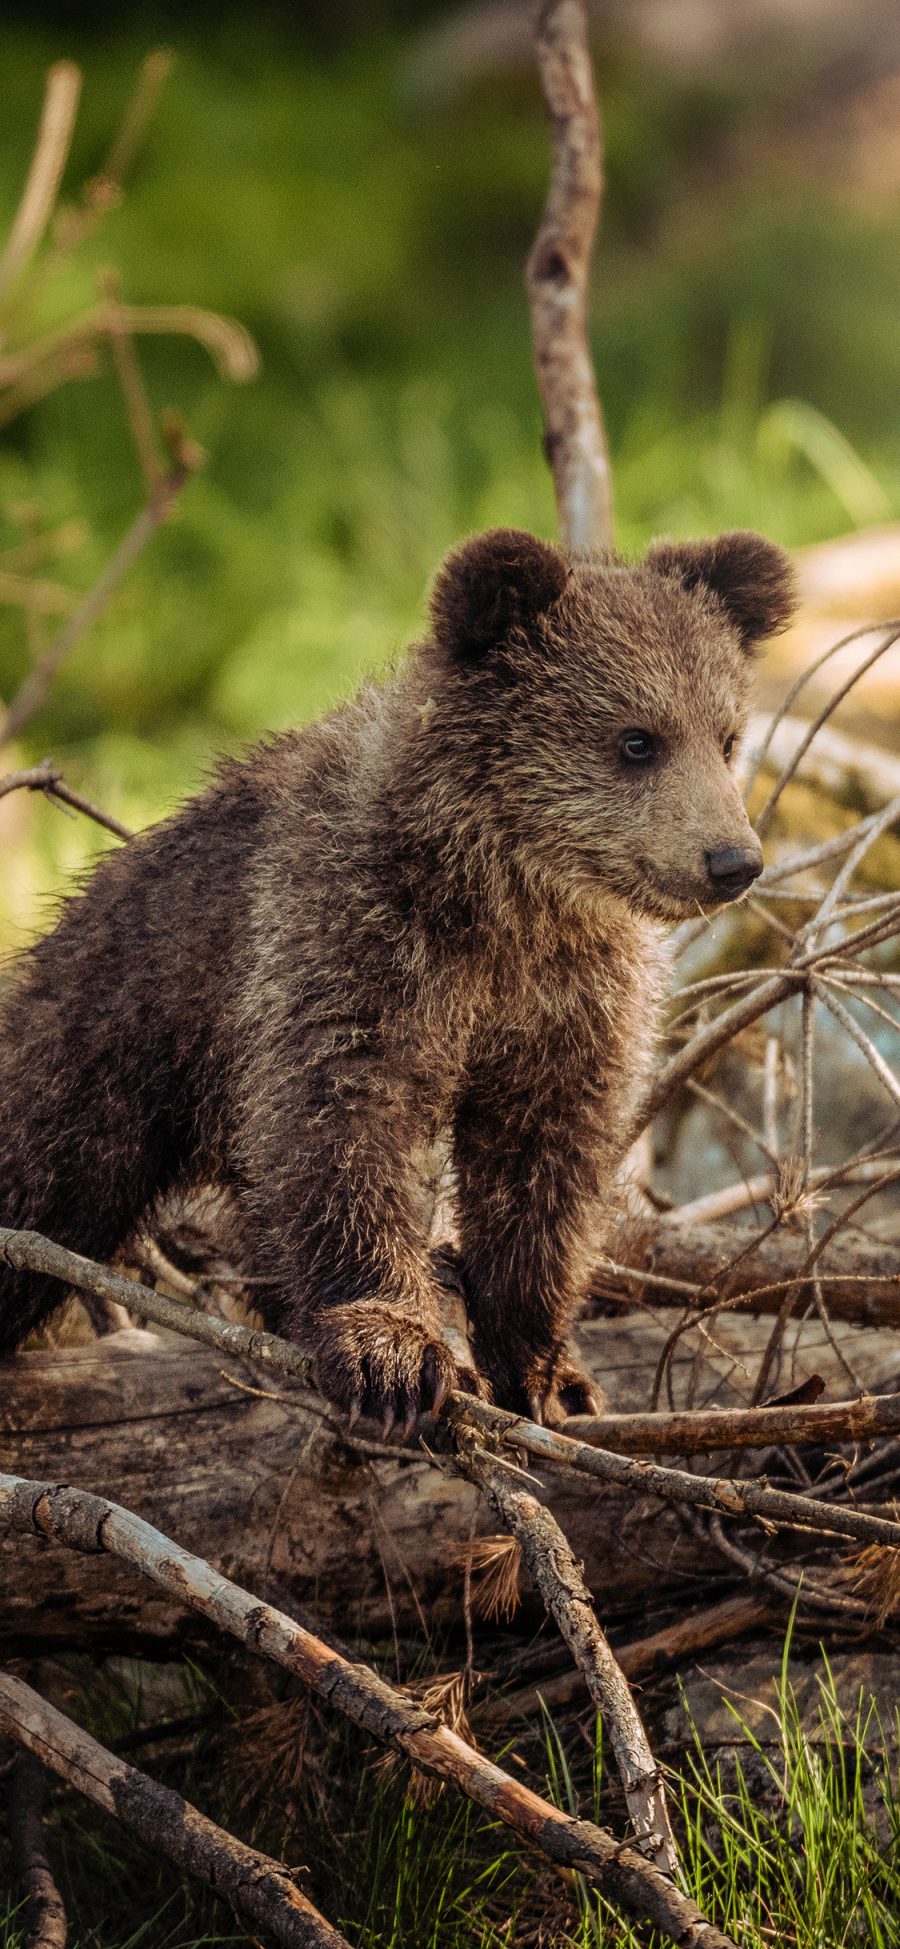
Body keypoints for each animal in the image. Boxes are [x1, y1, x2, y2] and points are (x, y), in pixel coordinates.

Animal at [0, 526, 787, 1426]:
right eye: (636, 738)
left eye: (727, 735)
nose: (733, 860)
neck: (506, 900)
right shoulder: (350, 943)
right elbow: (341, 1124)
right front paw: (396, 1353)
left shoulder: (571, 1000)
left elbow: (545, 1164)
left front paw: (550, 1371)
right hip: (100, 1047)